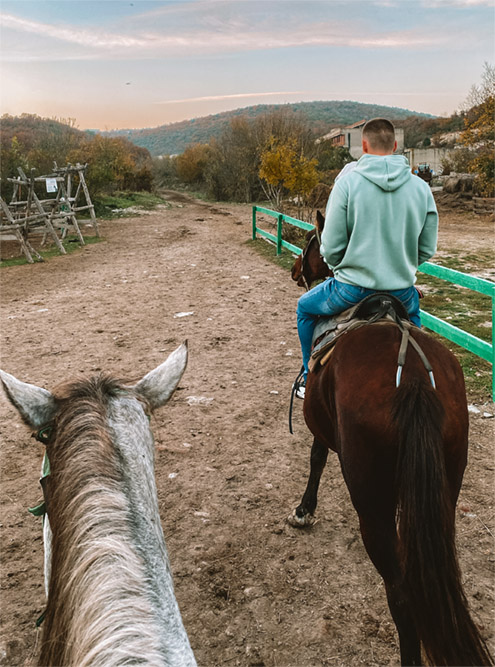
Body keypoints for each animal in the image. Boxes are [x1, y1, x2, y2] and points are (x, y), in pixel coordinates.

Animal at [290, 213, 492, 667]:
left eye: (311, 240)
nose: (295, 270)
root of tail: (414, 377)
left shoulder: (320, 427)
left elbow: (315, 458)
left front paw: (304, 510)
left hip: (373, 503)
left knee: (401, 593)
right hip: (445, 487)